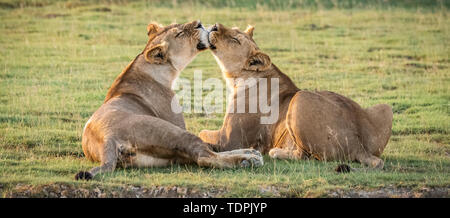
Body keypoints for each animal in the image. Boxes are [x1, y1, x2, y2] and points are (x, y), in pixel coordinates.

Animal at [75, 20, 262, 181]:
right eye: (179, 33)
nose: (199, 23)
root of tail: (108, 137)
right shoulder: (177, 123)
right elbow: (211, 147)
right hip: (171, 132)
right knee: (204, 156)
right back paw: (247, 160)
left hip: (164, 157)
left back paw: (250, 153)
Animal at [199, 23, 392, 170]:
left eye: (235, 39)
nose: (215, 26)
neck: (240, 77)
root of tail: (358, 145)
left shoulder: (230, 140)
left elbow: (203, 133)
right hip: (385, 108)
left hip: (300, 98)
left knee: (304, 155)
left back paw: (276, 152)